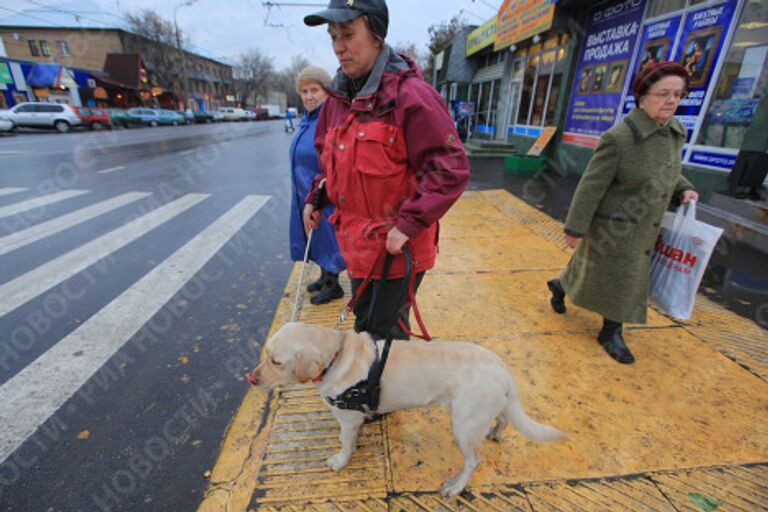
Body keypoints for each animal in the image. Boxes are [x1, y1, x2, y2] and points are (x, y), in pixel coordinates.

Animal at [246, 324, 564, 496]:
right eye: (266, 355)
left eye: (276, 361)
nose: (251, 378)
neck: (337, 354)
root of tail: (504, 370)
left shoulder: (349, 420)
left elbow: (346, 445)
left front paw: (340, 461)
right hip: (485, 412)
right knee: (503, 419)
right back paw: (495, 432)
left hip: (463, 425)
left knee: (473, 461)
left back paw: (455, 487)